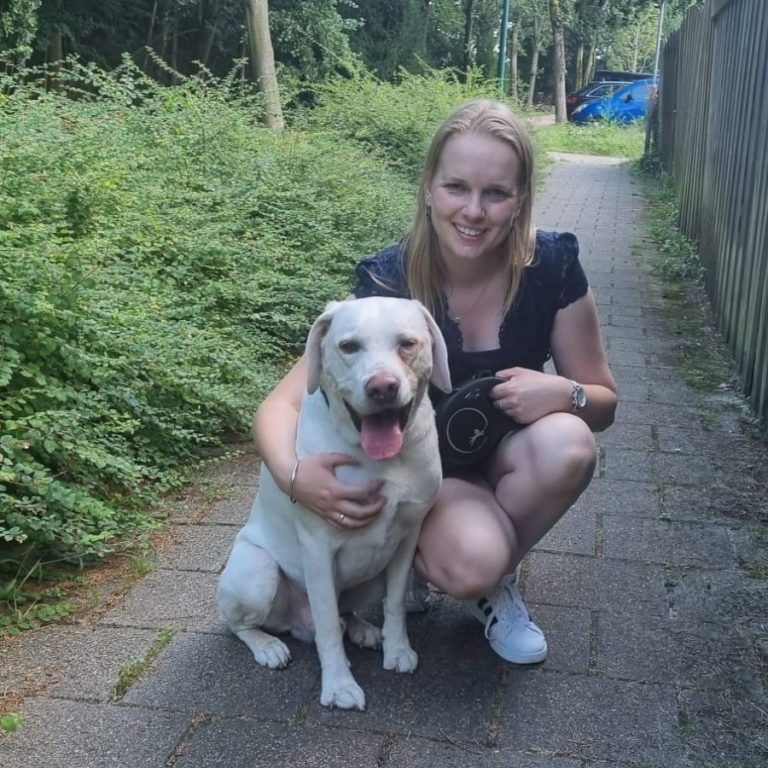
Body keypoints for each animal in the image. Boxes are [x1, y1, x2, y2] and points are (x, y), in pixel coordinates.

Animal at [217, 296, 451, 710]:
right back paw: (268, 646)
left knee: (345, 611)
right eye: (349, 346)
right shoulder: (318, 549)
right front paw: (339, 686)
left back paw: (363, 630)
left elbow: (394, 604)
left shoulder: (407, 538)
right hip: (257, 572)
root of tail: (295, 625)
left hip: (371, 576)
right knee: (244, 624)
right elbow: (327, 627)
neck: (379, 460)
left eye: (408, 343)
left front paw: (397, 649)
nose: (382, 387)